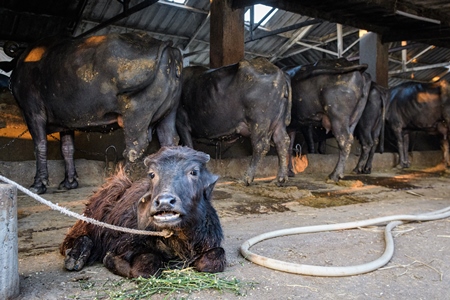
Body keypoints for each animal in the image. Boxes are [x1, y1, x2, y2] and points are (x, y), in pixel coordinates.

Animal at [10, 31, 183, 193]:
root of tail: (165, 45)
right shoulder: (66, 121)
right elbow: (67, 149)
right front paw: (69, 182)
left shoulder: (33, 111)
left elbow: (40, 145)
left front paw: (38, 184)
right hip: (168, 113)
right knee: (169, 141)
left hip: (137, 114)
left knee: (135, 148)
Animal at [60, 146, 225, 278]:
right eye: (152, 174)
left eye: (194, 172)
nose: (165, 202)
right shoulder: (126, 242)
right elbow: (146, 267)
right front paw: (110, 259)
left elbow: (214, 261)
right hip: (92, 216)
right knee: (76, 237)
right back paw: (75, 257)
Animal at [176, 56, 292, 185]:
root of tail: (280, 72)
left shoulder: (181, 123)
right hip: (279, 122)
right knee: (282, 142)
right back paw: (280, 179)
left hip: (259, 121)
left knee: (261, 146)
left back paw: (246, 178)